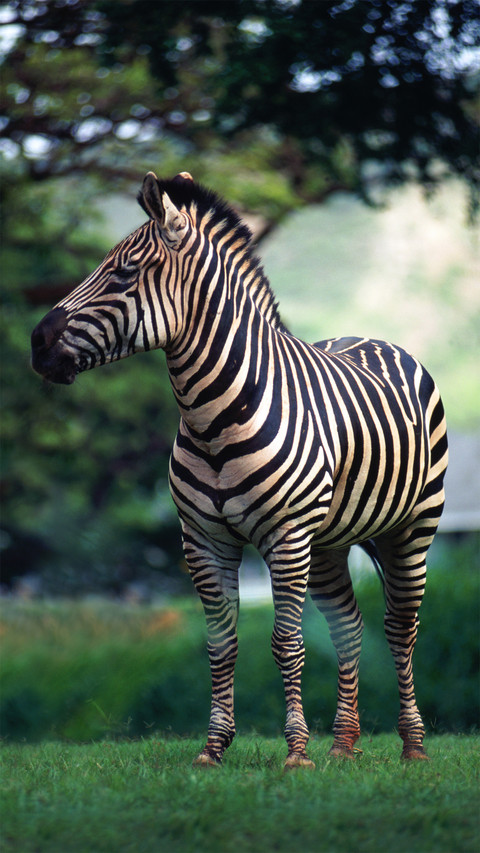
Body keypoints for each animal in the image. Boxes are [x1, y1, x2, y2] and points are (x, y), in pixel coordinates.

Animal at [31, 171, 448, 769]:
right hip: (329, 543)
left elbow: (285, 642)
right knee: (349, 627)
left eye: (123, 272)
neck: (212, 419)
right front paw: (214, 747)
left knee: (400, 627)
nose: (35, 344)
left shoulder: (286, 537)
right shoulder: (203, 540)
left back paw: (412, 744)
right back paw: (344, 745)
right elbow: (221, 642)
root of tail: (372, 337)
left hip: (412, 527)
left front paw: (295, 752)